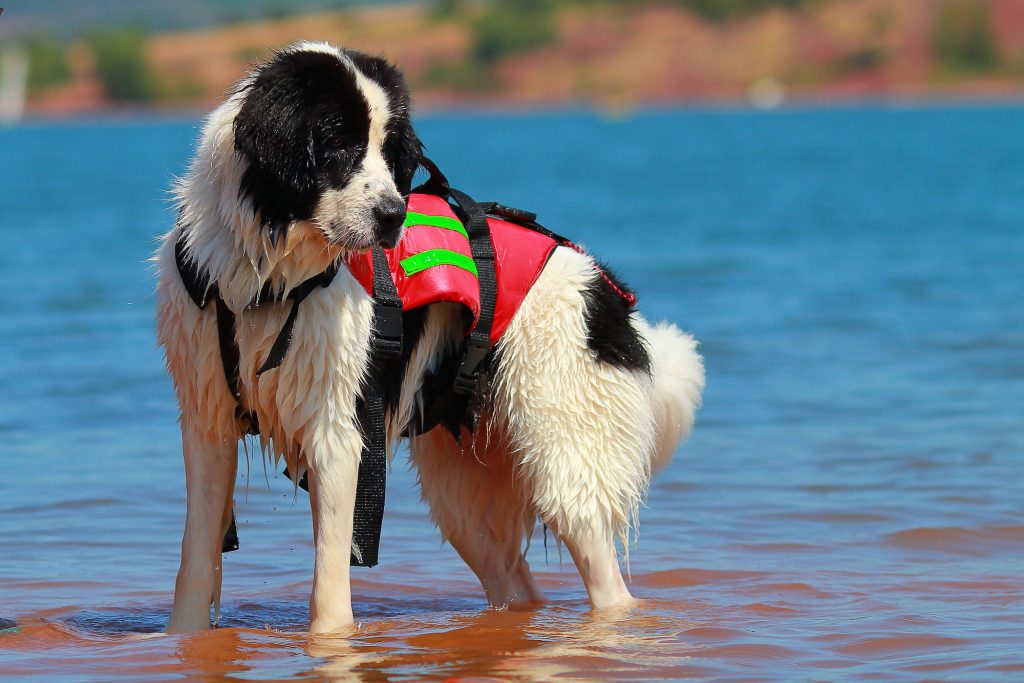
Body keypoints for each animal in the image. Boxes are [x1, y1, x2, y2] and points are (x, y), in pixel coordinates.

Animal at [155, 40, 704, 634]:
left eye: (390, 150)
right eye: (336, 143)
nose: (393, 215)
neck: (269, 276)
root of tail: (606, 291)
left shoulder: (338, 428)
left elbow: (329, 575)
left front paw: (330, 642)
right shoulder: (208, 420)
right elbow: (195, 556)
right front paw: (183, 638)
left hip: (564, 456)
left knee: (607, 581)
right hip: (466, 492)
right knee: (515, 579)